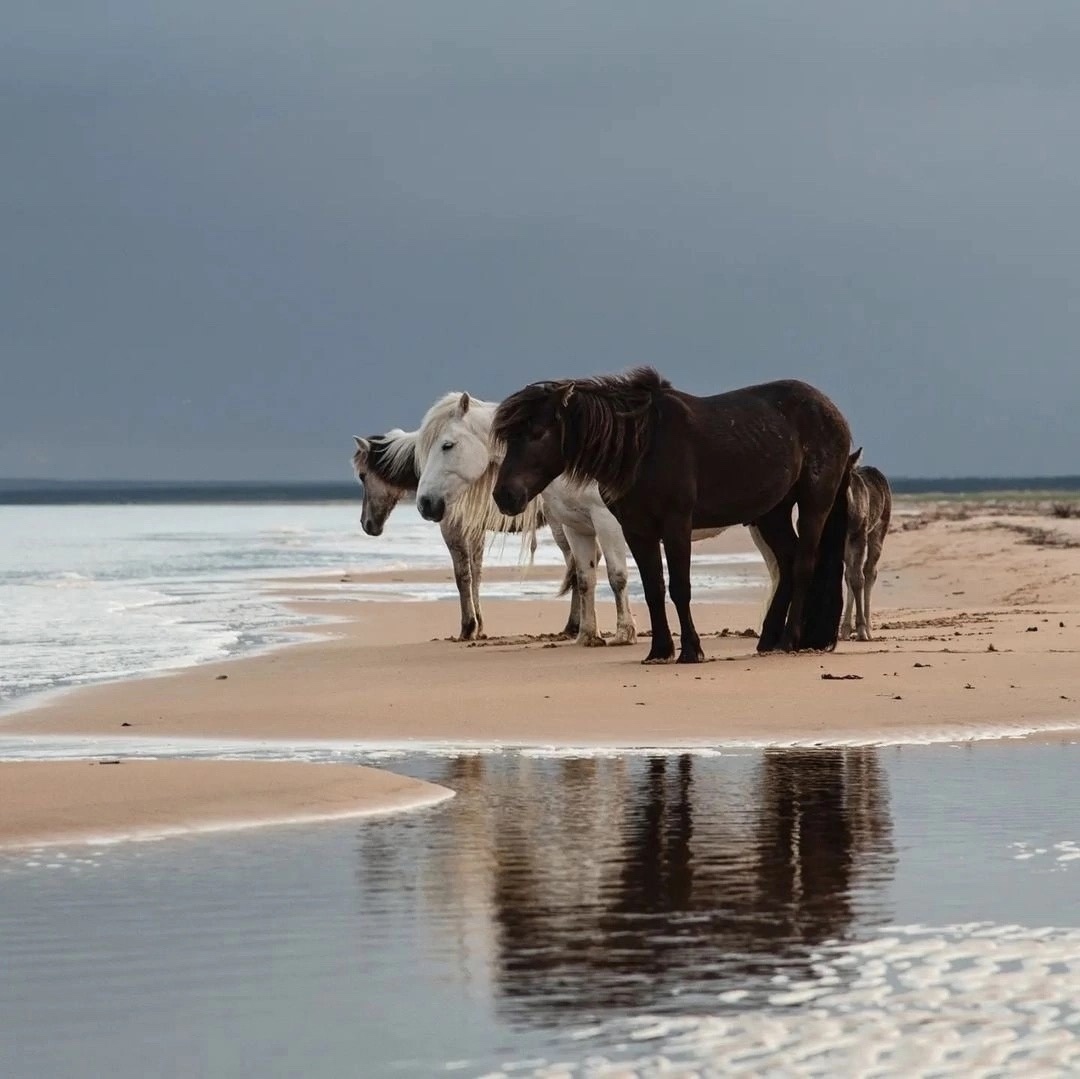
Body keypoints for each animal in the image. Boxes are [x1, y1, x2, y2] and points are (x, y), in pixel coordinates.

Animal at [408, 393, 635, 643]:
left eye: (447, 445)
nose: (425, 503)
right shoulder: (575, 525)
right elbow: (585, 578)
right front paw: (588, 636)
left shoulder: (607, 521)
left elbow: (617, 576)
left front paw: (625, 634)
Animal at [490, 367, 851, 661]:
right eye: (508, 437)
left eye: (537, 433)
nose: (504, 495)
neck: (642, 447)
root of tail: (833, 411)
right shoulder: (637, 530)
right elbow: (653, 588)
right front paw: (659, 651)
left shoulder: (676, 525)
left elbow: (680, 586)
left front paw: (691, 651)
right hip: (771, 513)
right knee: (787, 563)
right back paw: (768, 642)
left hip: (814, 503)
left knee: (802, 565)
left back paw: (789, 640)